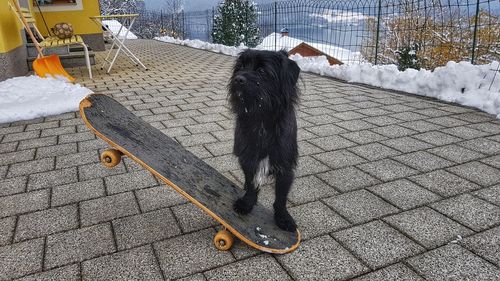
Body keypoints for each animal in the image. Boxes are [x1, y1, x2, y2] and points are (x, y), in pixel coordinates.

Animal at [228, 49, 300, 231]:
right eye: (240, 67)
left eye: (261, 71)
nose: (237, 79)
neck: (261, 117)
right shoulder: (248, 158)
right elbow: (251, 182)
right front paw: (247, 202)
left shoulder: (285, 165)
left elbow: (281, 196)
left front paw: (282, 217)